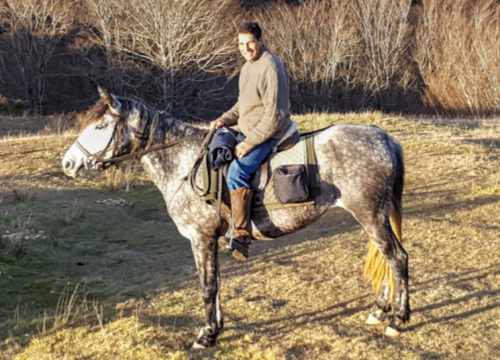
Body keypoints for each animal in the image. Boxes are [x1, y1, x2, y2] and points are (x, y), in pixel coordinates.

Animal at [61, 88, 410, 348]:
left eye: (101, 126)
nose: (68, 163)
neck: (185, 164)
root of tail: (384, 138)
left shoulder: (200, 238)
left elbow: (207, 286)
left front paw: (206, 335)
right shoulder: (210, 239)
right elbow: (215, 283)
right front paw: (216, 327)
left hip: (371, 216)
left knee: (397, 258)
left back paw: (397, 319)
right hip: (374, 217)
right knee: (386, 259)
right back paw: (380, 310)